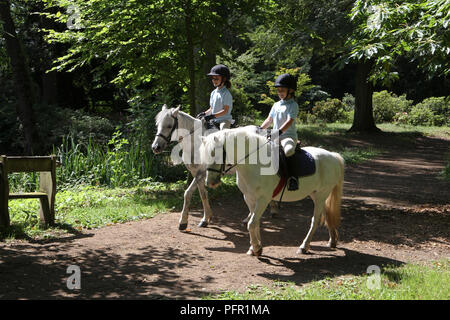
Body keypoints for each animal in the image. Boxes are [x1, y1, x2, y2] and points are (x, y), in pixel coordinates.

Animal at [200, 129, 344, 256]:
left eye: (216, 155)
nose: (210, 182)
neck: (254, 164)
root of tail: (332, 155)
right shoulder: (249, 198)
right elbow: (255, 222)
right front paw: (255, 248)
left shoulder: (263, 199)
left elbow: (251, 223)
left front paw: (256, 248)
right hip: (316, 195)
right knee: (327, 213)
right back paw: (332, 240)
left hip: (320, 195)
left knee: (315, 220)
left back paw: (304, 247)